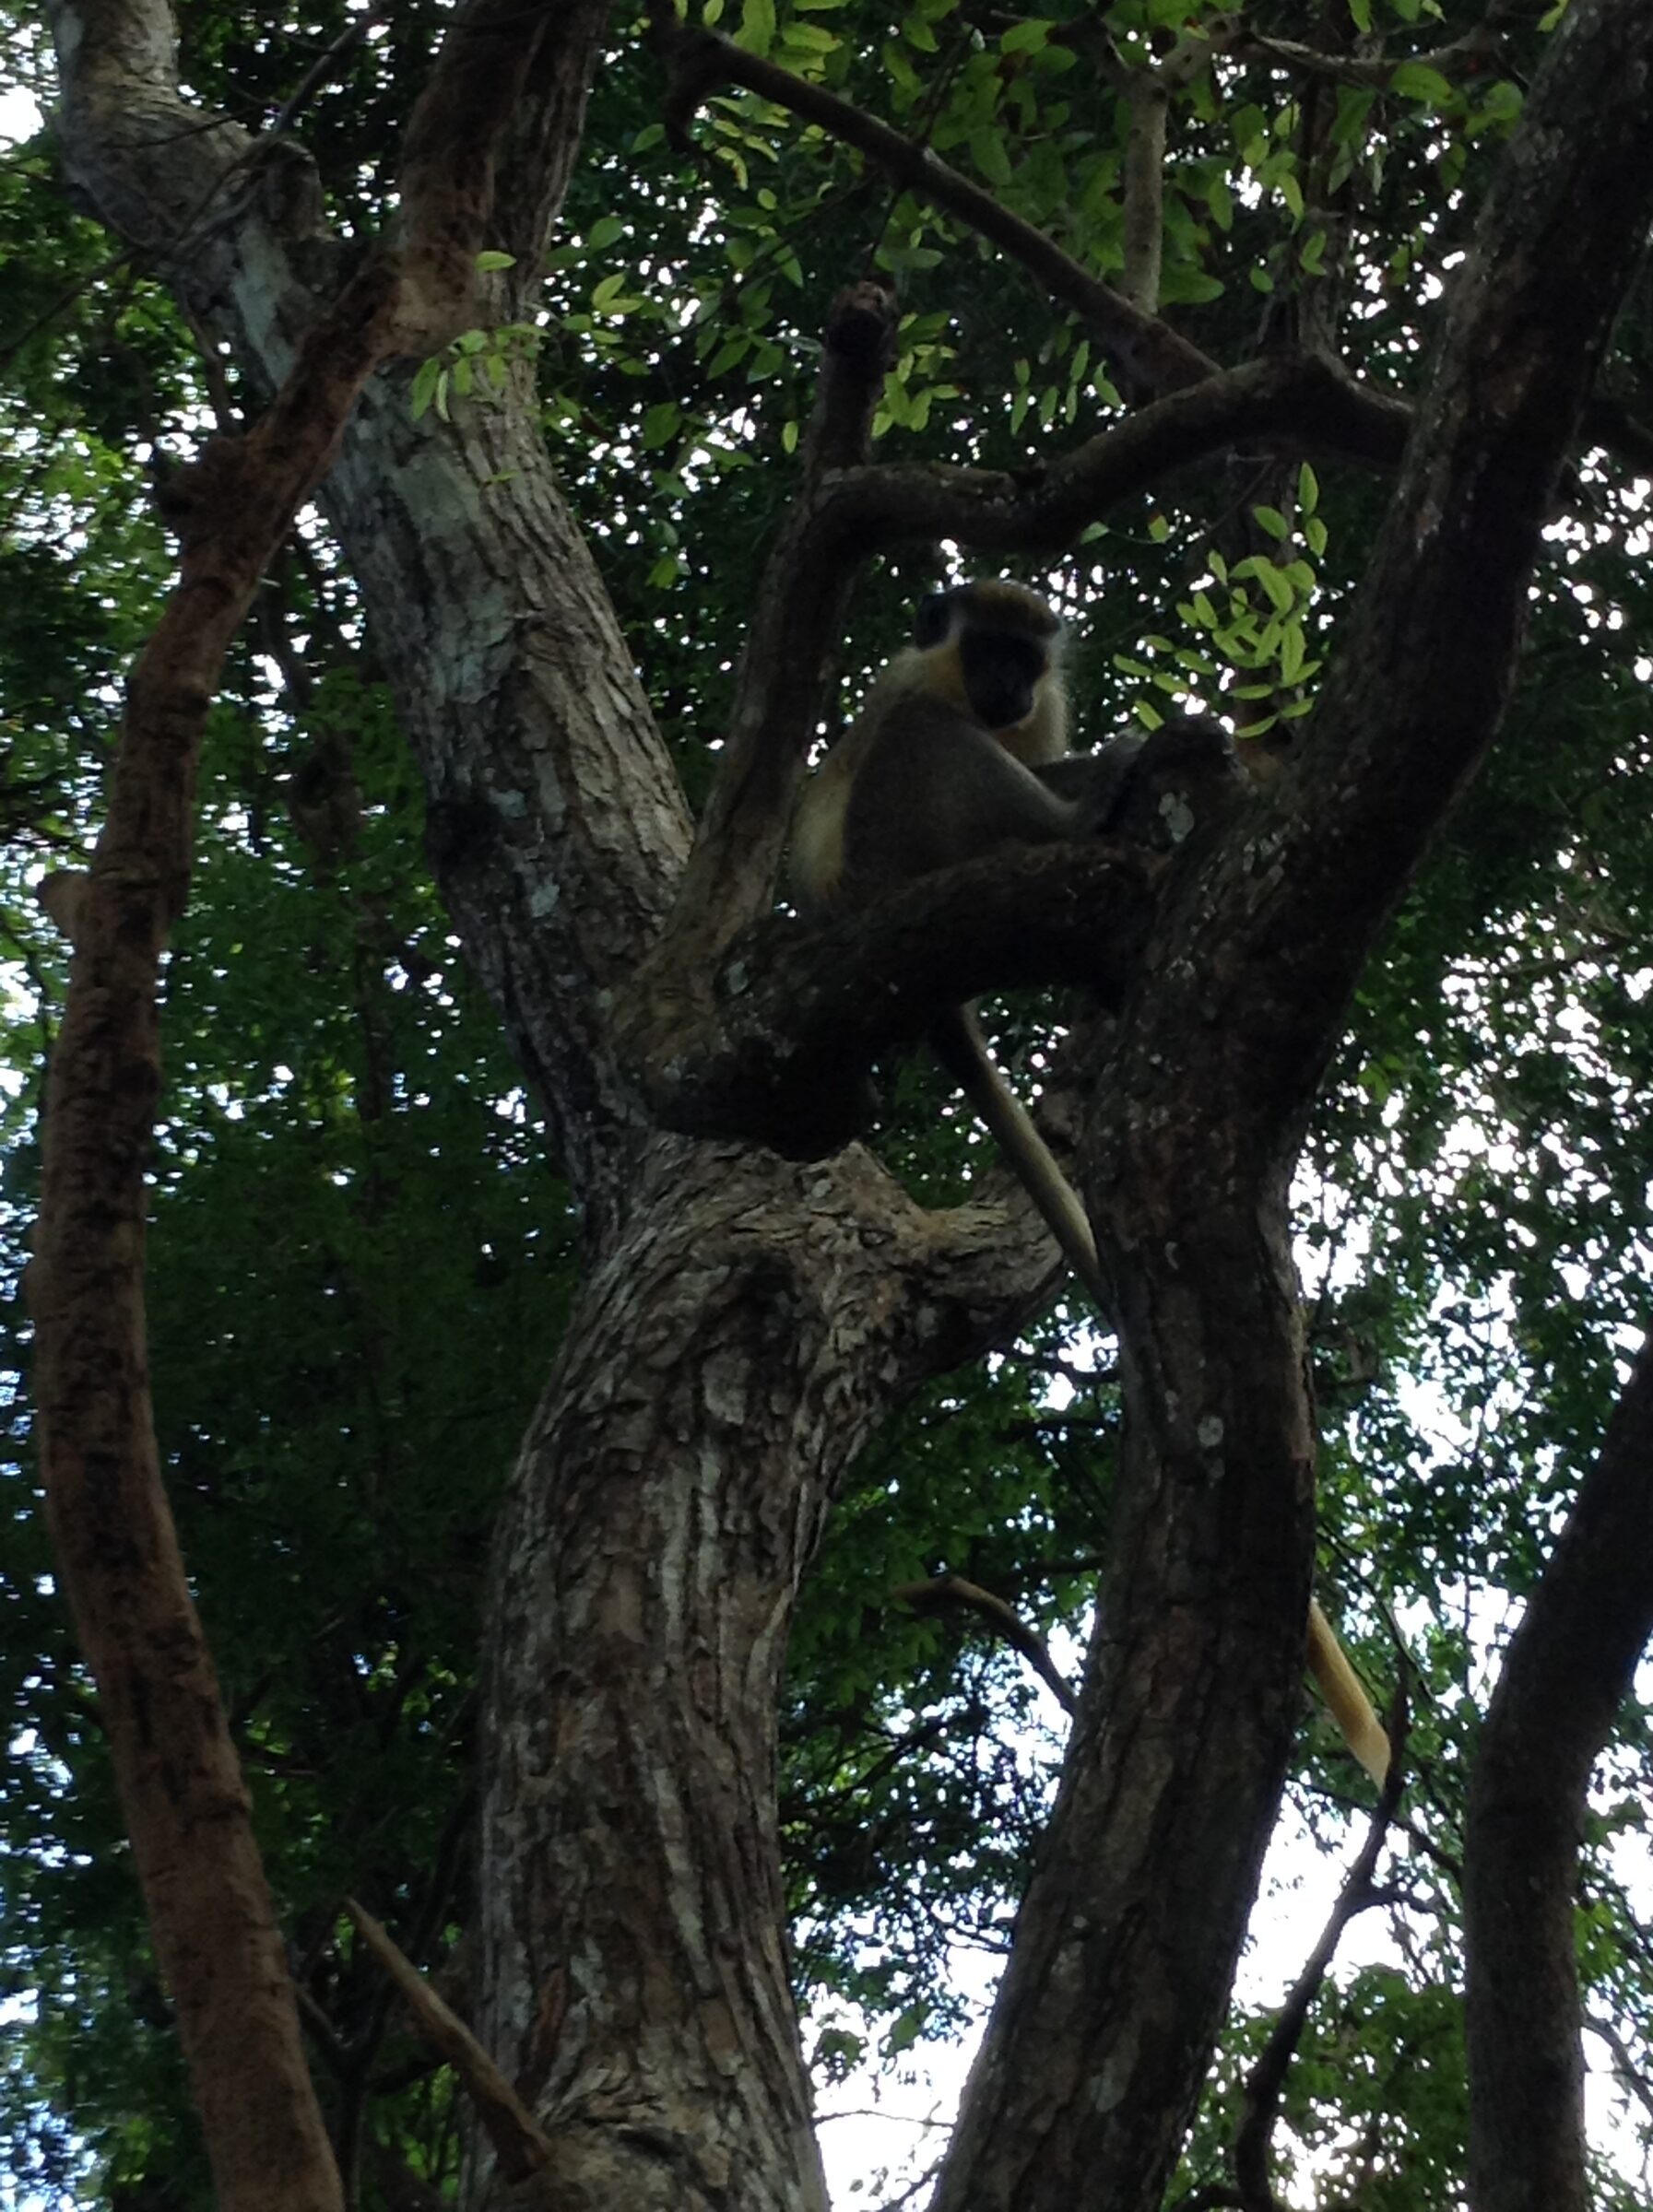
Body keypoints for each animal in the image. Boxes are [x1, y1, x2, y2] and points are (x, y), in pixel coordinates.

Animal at [789, 579, 1392, 1786]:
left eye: (1027, 660)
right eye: (986, 648)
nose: (1005, 690)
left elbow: (1050, 747)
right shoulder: (913, 694)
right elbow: (910, 723)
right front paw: (1116, 774)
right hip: (893, 862)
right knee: (924, 747)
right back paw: (1085, 818)